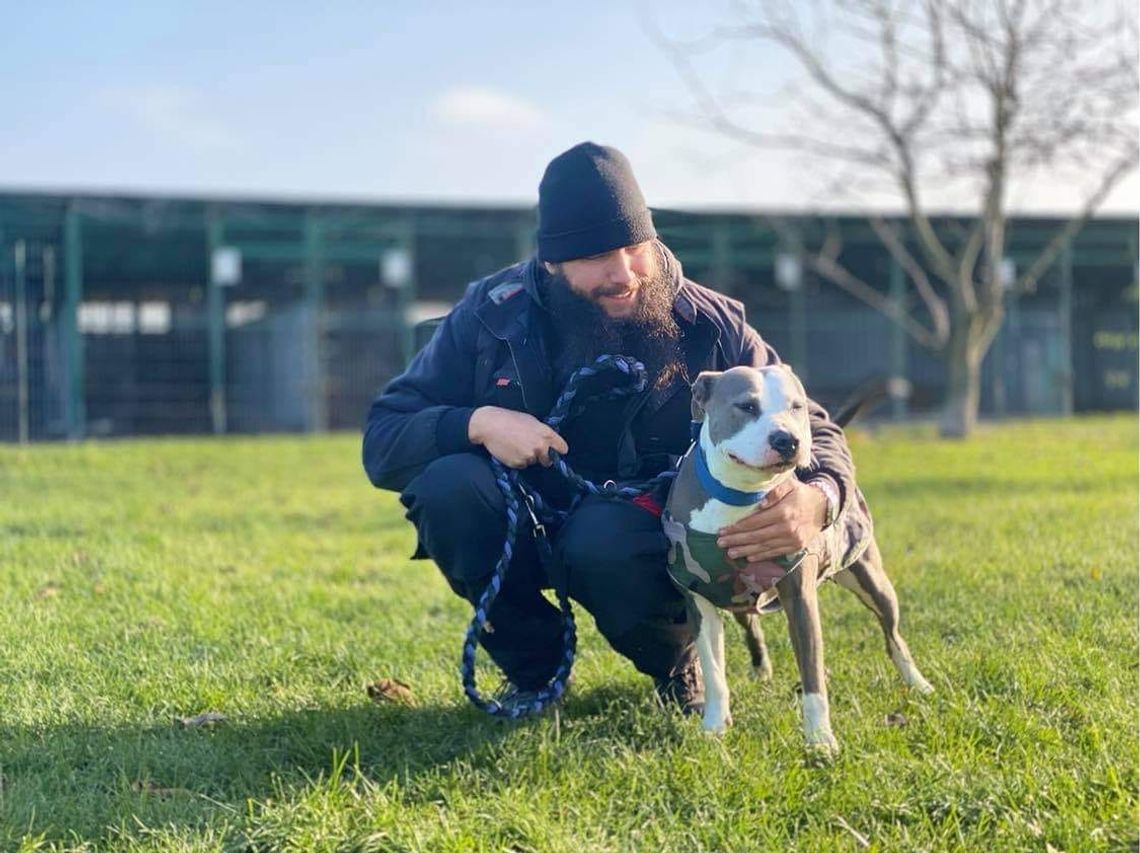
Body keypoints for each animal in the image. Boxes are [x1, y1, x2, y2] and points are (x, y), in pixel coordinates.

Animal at [661, 362, 934, 748]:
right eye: (746, 406)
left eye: (796, 407)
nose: (787, 440)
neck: (743, 497)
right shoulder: (700, 602)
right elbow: (714, 671)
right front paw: (714, 727)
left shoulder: (800, 599)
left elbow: (813, 676)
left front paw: (820, 740)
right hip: (737, 599)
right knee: (751, 626)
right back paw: (761, 672)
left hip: (872, 581)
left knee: (893, 636)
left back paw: (918, 683)